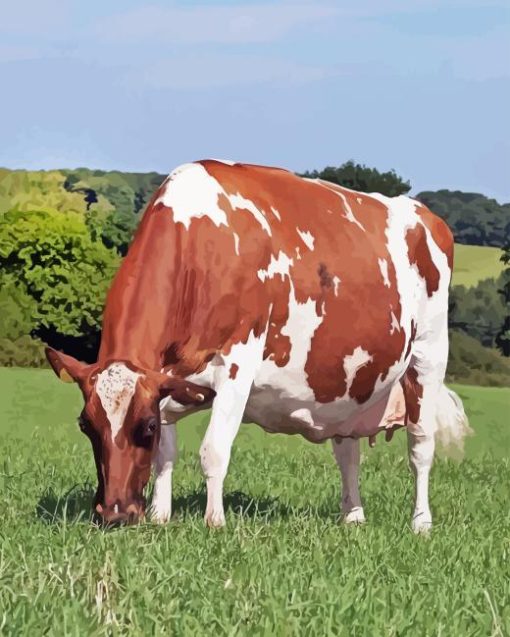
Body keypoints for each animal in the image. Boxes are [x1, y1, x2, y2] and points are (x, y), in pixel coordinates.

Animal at [44, 160, 470, 532]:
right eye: (86, 425)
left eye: (143, 426)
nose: (114, 513)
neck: (201, 246)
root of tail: (424, 214)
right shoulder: (166, 378)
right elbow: (166, 454)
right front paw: (159, 516)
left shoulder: (238, 364)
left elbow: (213, 450)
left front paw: (214, 522)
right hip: (348, 385)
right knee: (347, 451)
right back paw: (352, 516)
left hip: (429, 357)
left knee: (421, 447)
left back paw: (421, 523)